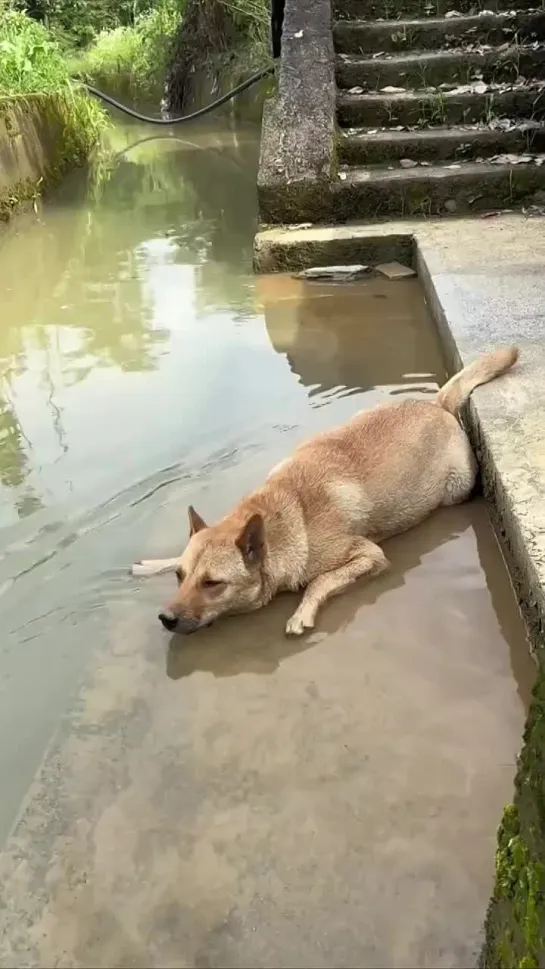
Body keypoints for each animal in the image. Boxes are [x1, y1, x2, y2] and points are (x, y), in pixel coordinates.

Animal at [134, 346, 516, 636]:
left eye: (213, 584)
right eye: (181, 578)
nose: (165, 618)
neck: (283, 516)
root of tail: (436, 403)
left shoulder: (368, 556)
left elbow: (320, 581)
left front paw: (302, 612)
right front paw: (155, 564)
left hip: (457, 488)